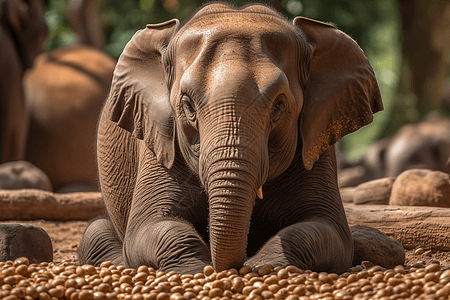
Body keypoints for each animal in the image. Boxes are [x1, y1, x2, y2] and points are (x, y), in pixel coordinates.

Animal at [78, 2, 384, 274]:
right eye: (187, 105)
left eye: (279, 105)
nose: (236, 264)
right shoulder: (159, 142)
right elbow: (147, 227)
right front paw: (195, 269)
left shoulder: (315, 144)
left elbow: (331, 231)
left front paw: (265, 267)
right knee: (95, 231)